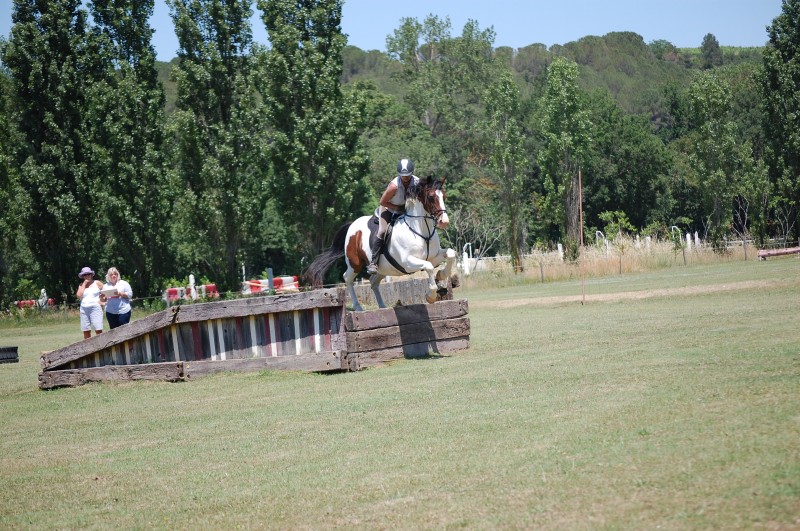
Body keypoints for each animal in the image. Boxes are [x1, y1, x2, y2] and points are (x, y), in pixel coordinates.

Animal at [306, 176, 457, 312]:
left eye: (444, 196)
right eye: (431, 197)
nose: (444, 222)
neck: (421, 230)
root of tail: (352, 225)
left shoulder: (434, 256)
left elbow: (450, 254)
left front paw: (442, 274)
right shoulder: (407, 263)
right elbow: (429, 267)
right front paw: (430, 296)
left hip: (383, 268)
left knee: (373, 282)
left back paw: (383, 306)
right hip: (355, 263)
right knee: (347, 278)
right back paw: (358, 307)